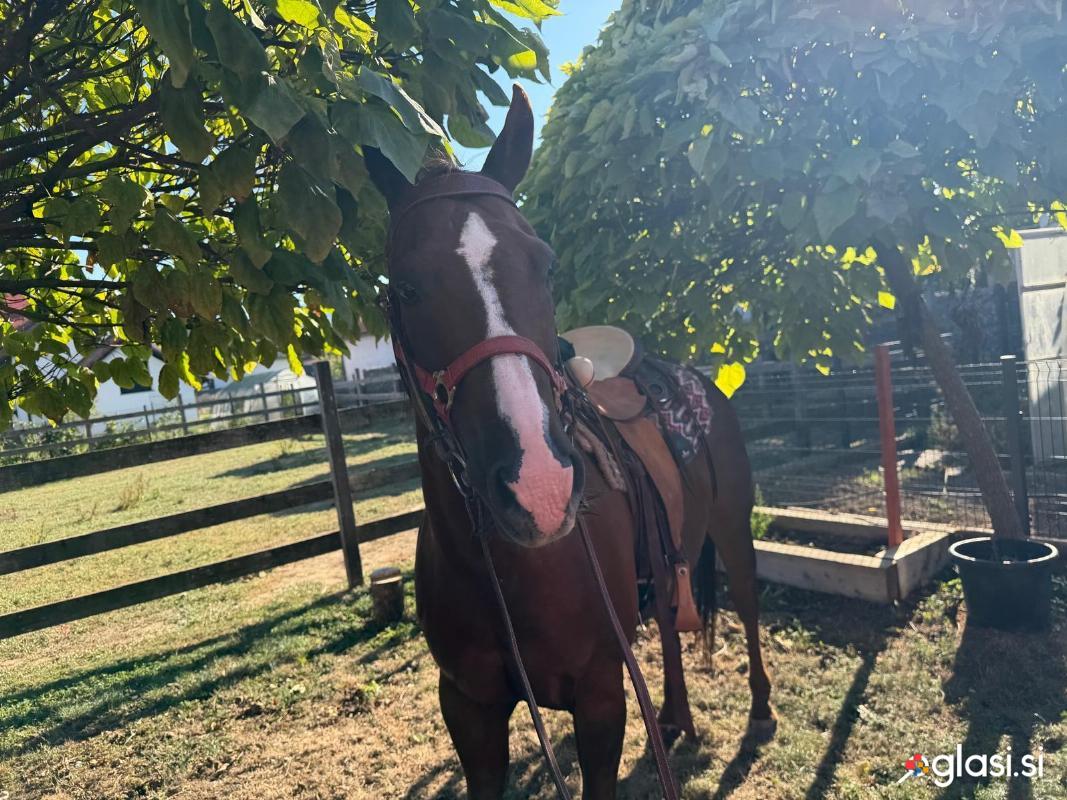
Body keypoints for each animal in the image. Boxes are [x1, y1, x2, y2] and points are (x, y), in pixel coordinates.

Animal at [365, 84, 775, 799]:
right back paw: (675, 718)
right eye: (407, 288)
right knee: (671, 623)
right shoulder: (468, 710)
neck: (509, 570)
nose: (540, 487)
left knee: (747, 606)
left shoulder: (601, 698)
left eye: (547, 265)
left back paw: (758, 710)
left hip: (731, 527)